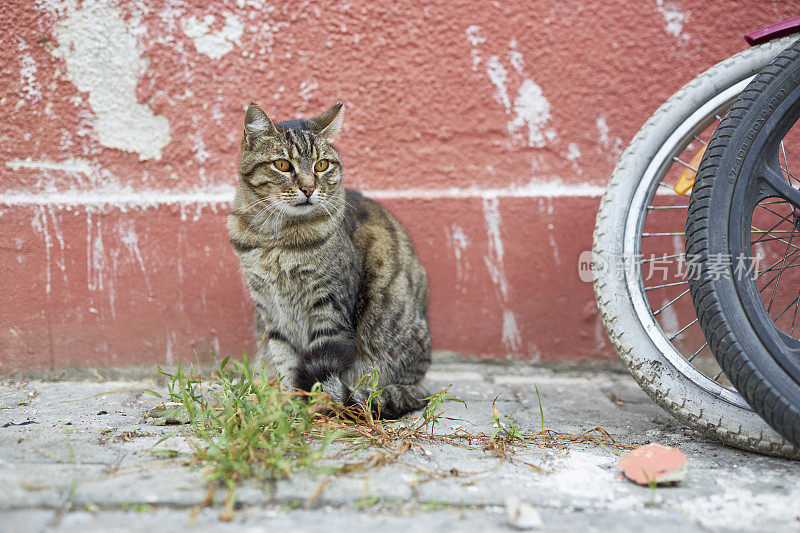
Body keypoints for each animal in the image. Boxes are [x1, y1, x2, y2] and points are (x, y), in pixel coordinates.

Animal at [227, 104, 432, 418]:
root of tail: (422, 383)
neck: (276, 239)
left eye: (322, 165)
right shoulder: (270, 311)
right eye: (283, 165)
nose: (309, 188)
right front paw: (289, 406)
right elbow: (285, 360)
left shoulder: (329, 305)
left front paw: (313, 407)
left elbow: (318, 367)